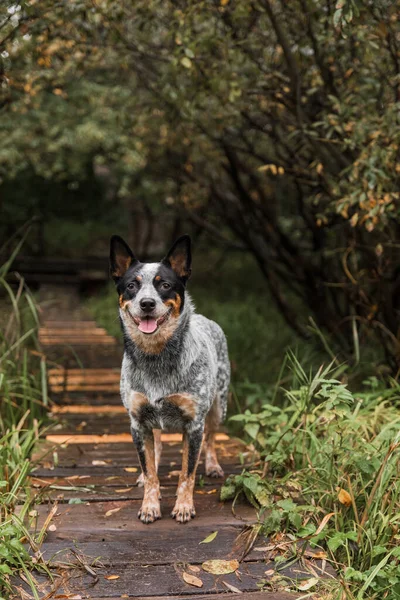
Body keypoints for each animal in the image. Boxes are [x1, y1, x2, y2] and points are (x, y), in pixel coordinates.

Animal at [109, 232, 230, 524]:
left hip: (218, 407)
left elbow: (187, 472)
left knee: (211, 439)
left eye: (164, 285)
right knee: (156, 448)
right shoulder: (138, 421)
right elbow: (150, 469)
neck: (156, 358)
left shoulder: (194, 424)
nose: (147, 304)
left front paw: (184, 506)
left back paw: (212, 465)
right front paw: (149, 505)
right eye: (132, 286)